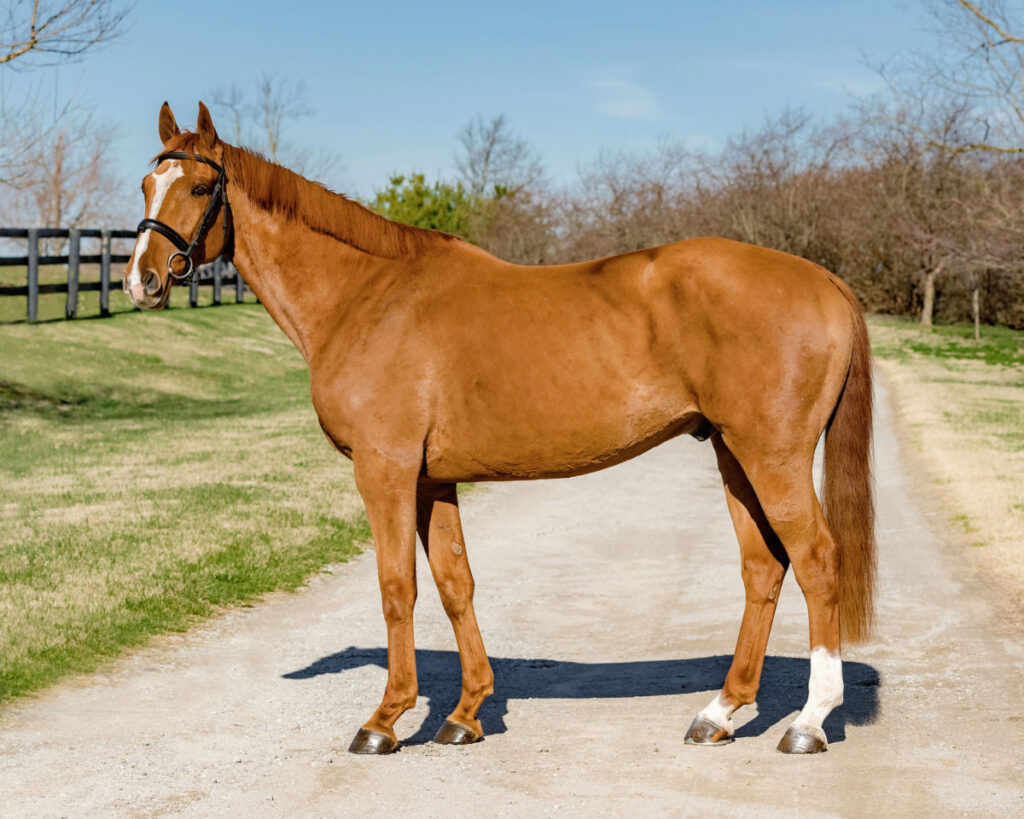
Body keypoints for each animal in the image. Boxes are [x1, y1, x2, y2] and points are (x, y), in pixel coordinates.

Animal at [121, 102, 872, 753]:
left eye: (198, 185)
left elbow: (397, 587)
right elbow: (456, 583)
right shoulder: (434, 480)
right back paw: (719, 712)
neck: (367, 296)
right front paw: (464, 714)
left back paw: (808, 722)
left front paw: (386, 720)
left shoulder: (385, 470)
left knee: (816, 560)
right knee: (763, 567)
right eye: (147, 183)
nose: (142, 281)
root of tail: (825, 281)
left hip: (771, 456)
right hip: (732, 454)